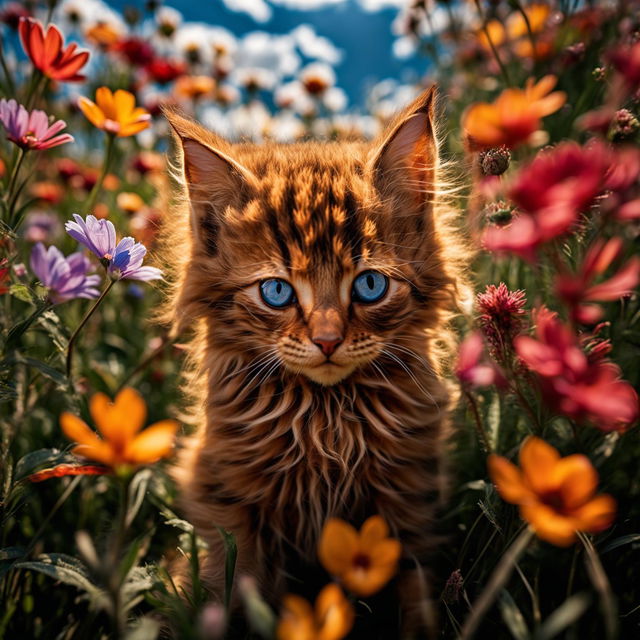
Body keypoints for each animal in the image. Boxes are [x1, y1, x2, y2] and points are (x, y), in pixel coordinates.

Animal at [162, 89, 468, 636]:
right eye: (277, 292)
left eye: (370, 285)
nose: (328, 340)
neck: (326, 424)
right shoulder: (230, 509)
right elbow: (229, 589)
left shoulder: (410, 505)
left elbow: (416, 600)